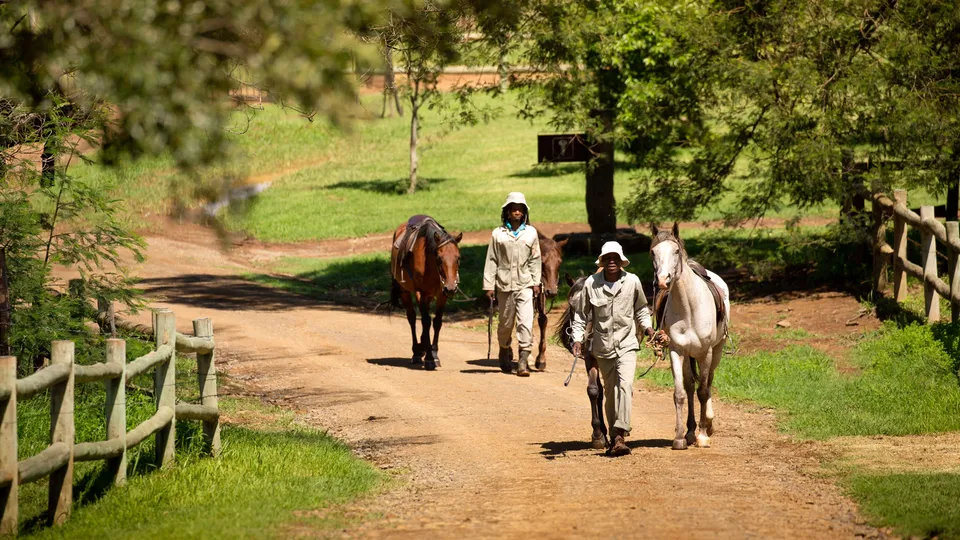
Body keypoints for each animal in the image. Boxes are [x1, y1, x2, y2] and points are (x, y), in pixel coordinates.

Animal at [390, 216, 463, 370]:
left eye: (458, 258)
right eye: (439, 258)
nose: (451, 288)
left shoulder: (441, 295)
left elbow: (437, 322)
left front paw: (434, 353)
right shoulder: (421, 293)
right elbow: (426, 321)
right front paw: (429, 357)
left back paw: (423, 346)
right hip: (406, 291)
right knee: (412, 318)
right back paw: (417, 352)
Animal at [650, 222, 730, 450]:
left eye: (676, 251)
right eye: (653, 252)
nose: (662, 281)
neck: (689, 307)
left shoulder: (706, 352)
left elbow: (703, 391)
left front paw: (703, 436)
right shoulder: (676, 351)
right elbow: (680, 393)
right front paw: (680, 437)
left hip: (716, 351)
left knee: (708, 383)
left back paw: (707, 424)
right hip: (688, 356)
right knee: (690, 386)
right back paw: (691, 431)